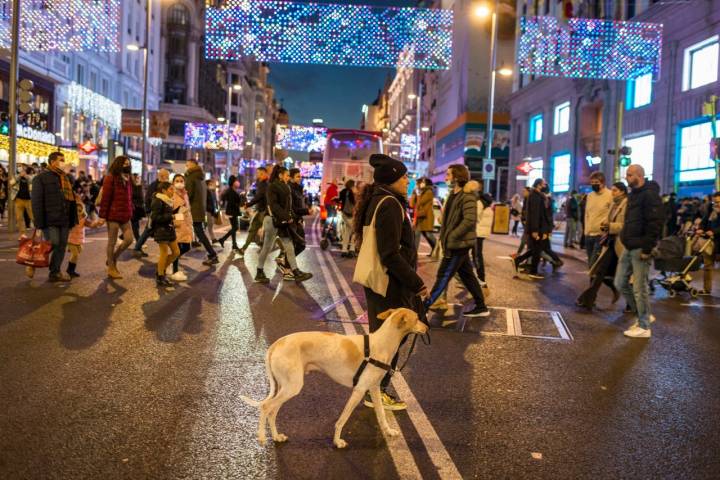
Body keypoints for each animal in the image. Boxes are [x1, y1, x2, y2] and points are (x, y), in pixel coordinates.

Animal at [240, 310, 428, 448]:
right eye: (417, 318)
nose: (427, 328)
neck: (381, 343)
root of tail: (276, 344)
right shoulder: (358, 391)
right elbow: (342, 420)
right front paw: (337, 441)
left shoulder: (374, 388)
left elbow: (381, 414)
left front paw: (388, 431)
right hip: (292, 387)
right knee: (265, 407)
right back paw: (262, 438)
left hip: (285, 387)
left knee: (272, 412)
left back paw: (276, 437)